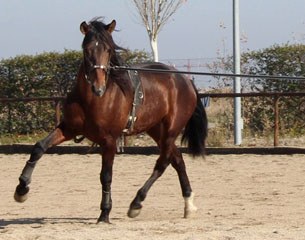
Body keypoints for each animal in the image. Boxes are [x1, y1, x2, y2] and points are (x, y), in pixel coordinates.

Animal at [13, 18, 207, 223]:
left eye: (108, 49)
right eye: (87, 49)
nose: (98, 86)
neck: (95, 100)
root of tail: (184, 79)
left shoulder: (109, 140)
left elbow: (106, 175)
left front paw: (105, 213)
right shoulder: (68, 129)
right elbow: (39, 148)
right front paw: (21, 189)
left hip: (171, 129)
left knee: (163, 163)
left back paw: (136, 203)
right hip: (156, 129)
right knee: (177, 159)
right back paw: (189, 205)